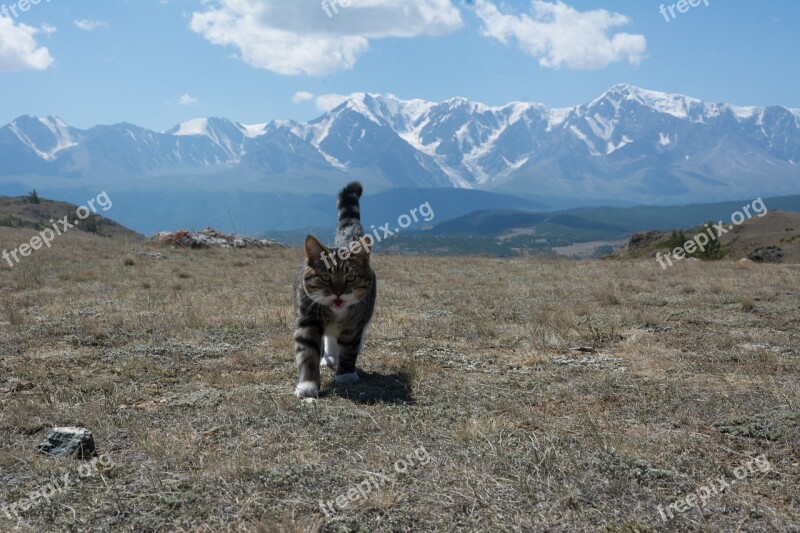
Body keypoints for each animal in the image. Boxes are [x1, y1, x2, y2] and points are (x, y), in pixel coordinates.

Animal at [292, 181, 376, 396]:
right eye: (325, 277)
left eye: (351, 277)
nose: (338, 292)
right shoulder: (308, 318)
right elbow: (307, 352)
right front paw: (307, 385)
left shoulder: (355, 323)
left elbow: (349, 348)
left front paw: (345, 375)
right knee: (329, 339)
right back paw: (329, 357)